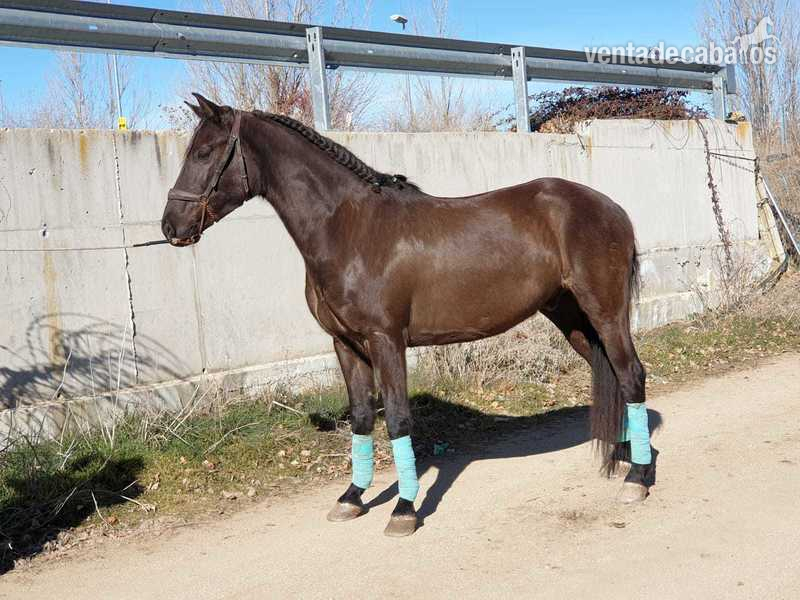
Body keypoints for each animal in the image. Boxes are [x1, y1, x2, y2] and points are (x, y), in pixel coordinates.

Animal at [161, 93, 654, 537]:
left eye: (205, 152)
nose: (171, 226)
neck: (349, 228)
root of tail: (610, 207)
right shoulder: (346, 344)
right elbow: (363, 416)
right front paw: (352, 497)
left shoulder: (386, 340)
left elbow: (397, 418)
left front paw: (404, 508)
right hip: (570, 318)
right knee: (611, 373)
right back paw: (626, 458)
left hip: (605, 312)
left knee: (631, 374)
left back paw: (638, 477)